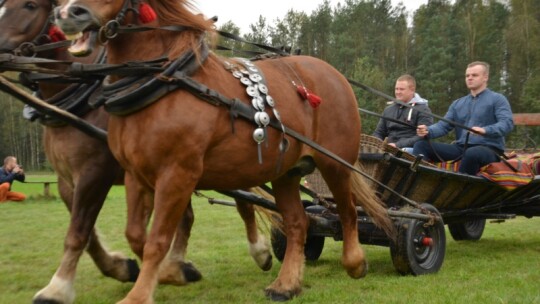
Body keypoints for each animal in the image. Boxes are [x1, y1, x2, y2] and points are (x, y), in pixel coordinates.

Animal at [1, 0, 270, 304]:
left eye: (30, 5)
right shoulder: (68, 180)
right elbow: (87, 232)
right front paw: (123, 268)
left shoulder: (96, 173)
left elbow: (79, 231)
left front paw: (57, 288)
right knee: (189, 217)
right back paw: (178, 262)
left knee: (244, 203)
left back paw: (259, 251)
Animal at [52, 0, 392, 302]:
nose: (68, 13)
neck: (162, 82)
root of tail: (332, 73)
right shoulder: (135, 174)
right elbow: (137, 235)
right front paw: (173, 272)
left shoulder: (176, 175)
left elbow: (157, 240)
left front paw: (139, 294)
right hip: (285, 172)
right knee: (298, 223)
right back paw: (286, 285)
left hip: (336, 163)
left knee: (347, 211)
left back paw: (355, 263)